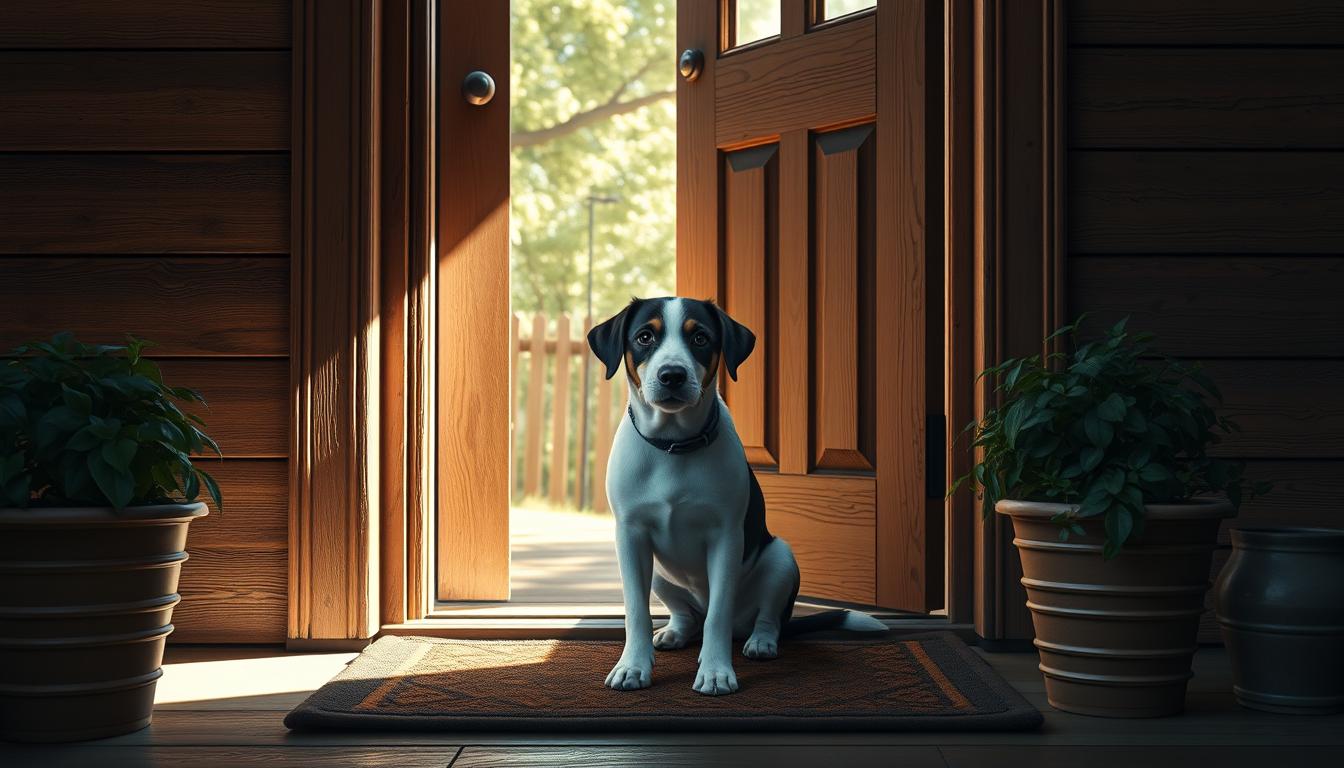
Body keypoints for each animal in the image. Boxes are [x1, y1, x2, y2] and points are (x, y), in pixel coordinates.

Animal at [585, 295, 881, 699]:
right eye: (645, 336)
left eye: (700, 338)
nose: (672, 375)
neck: (673, 447)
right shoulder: (630, 536)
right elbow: (636, 611)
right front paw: (633, 666)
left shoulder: (726, 537)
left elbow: (718, 615)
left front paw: (715, 671)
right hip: (660, 573)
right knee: (687, 615)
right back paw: (674, 632)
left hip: (781, 560)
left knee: (765, 617)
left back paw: (760, 642)